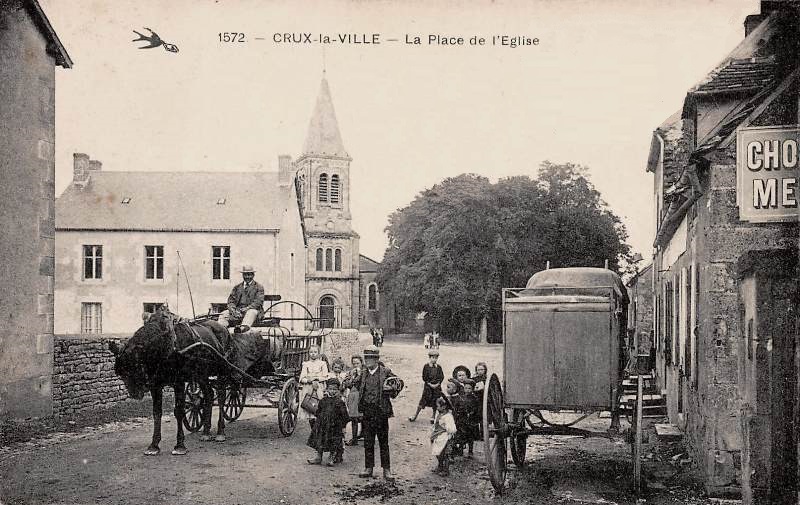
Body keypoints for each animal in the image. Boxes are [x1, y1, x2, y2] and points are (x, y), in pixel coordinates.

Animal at [111, 310, 234, 454]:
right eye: (121, 373)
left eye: (137, 364)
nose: (135, 393)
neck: (167, 345)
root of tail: (224, 329)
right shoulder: (155, 386)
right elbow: (157, 412)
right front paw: (154, 445)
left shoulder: (178, 382)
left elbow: (179, 411)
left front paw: (180, 445)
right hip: (201, 375)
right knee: (208, 395)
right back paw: (206, 432)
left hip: (221, 371)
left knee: (221, 398)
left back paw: (220, 432)